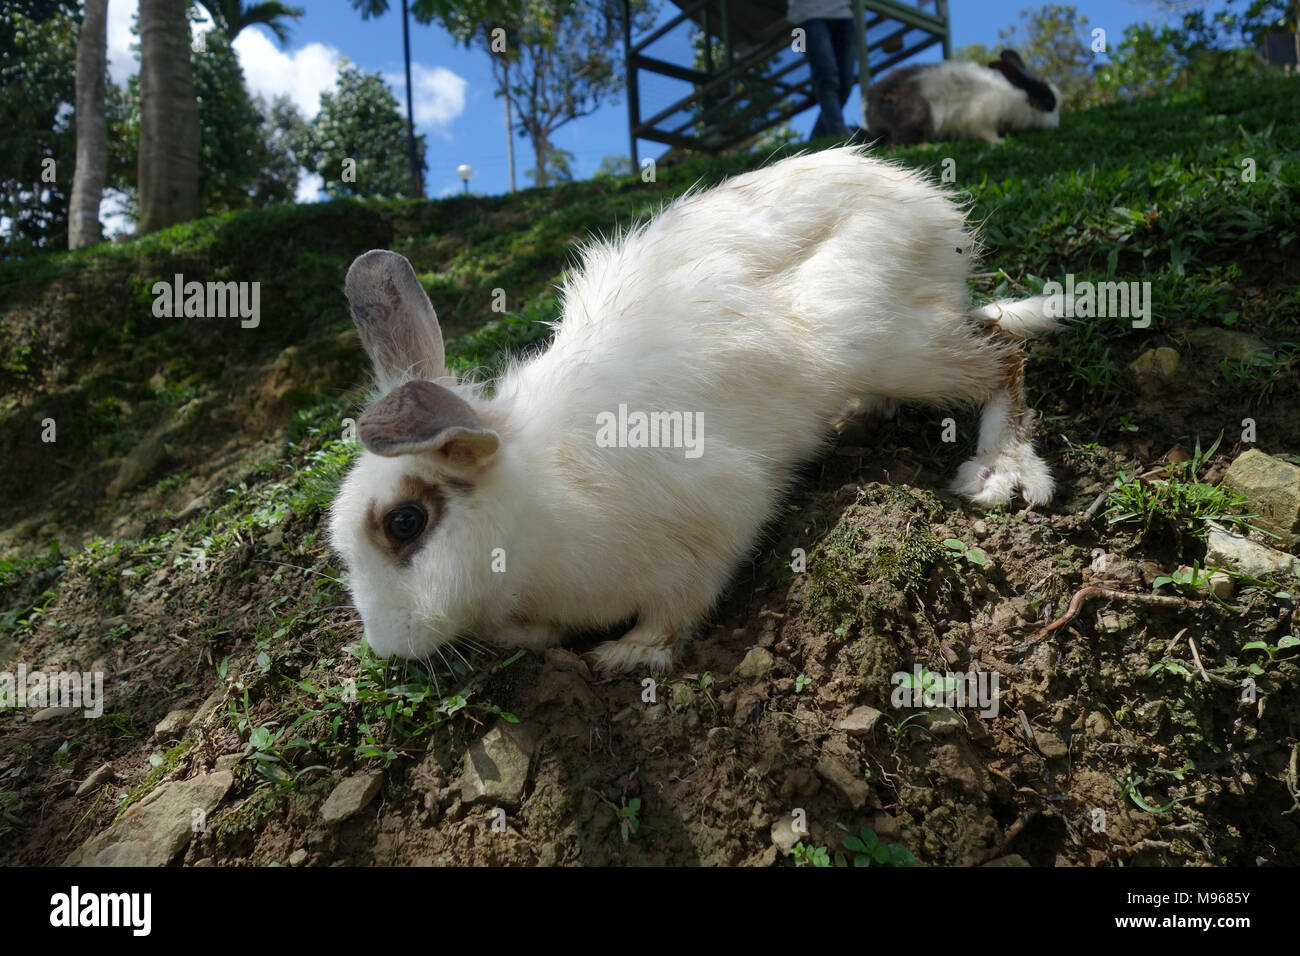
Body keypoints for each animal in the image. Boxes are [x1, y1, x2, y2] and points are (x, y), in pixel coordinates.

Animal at [325, 145, 1055, 676]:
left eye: (406, 522)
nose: (387, 648)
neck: (537, 497)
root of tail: (931, 207)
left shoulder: (714, 521)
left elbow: (683, 601)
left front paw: (628, 655)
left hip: (883, 341)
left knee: (1005, 358)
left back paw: (1001, 471)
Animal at [868, 49, 1060, 146]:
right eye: (1049, 103)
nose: (1056, 125)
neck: (1017, 99)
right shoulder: (980, 116)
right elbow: (986, 131)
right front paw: (1000, 141)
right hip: (918, 117)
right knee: (899, 143)